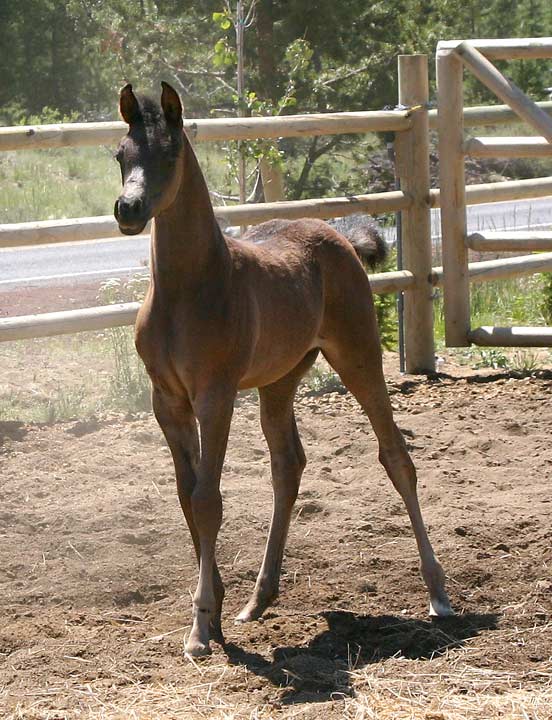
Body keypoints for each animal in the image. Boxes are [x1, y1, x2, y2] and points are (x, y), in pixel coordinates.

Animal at [113, 83, 452, 660]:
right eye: (121, 154)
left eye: (169, 154)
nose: (128, 208)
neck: (189, 289)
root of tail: (340, 237)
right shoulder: (168, 401)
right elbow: (187, 494)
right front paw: (216, 612)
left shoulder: (216, 395)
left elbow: (207, 498)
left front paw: (200, 628)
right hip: (279, 380)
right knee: (288, 466)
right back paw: (258, 599)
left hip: (358, 355)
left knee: (396, 457)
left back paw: (438, 595)